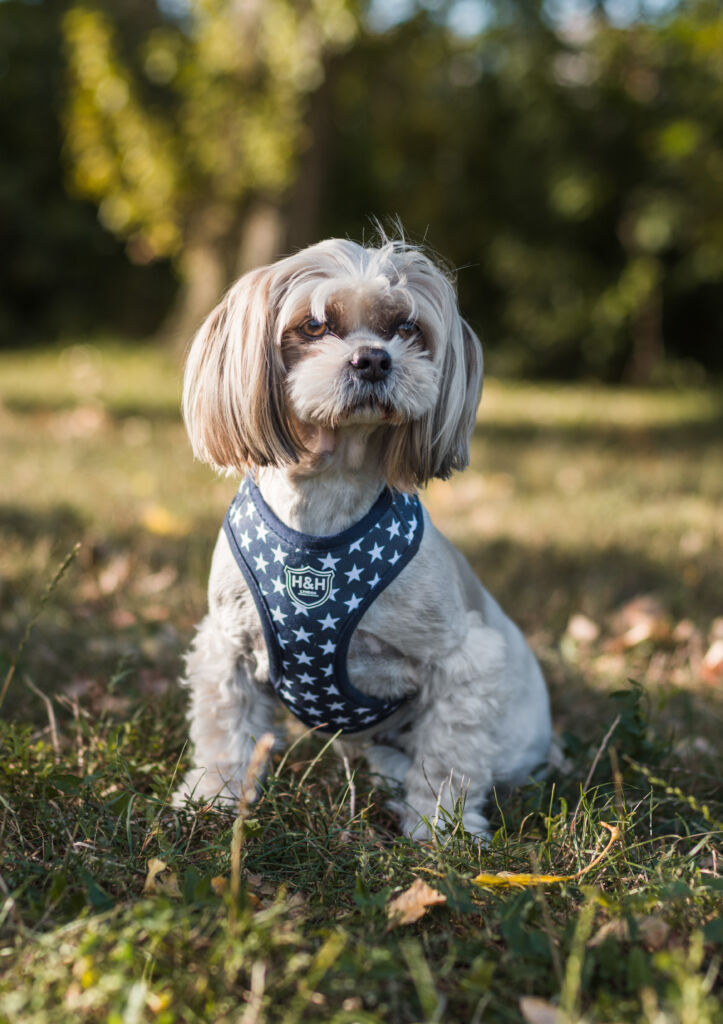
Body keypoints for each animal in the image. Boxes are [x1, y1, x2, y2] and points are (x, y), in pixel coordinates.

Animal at [176, 236, 551, 839]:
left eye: (406, 328)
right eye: (313, 326)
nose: (373, 358)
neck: (326, 503)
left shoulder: (463, 662)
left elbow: (447, 757)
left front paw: (439, 829)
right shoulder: (227, 647)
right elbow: (224, 732)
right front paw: (215, 798)